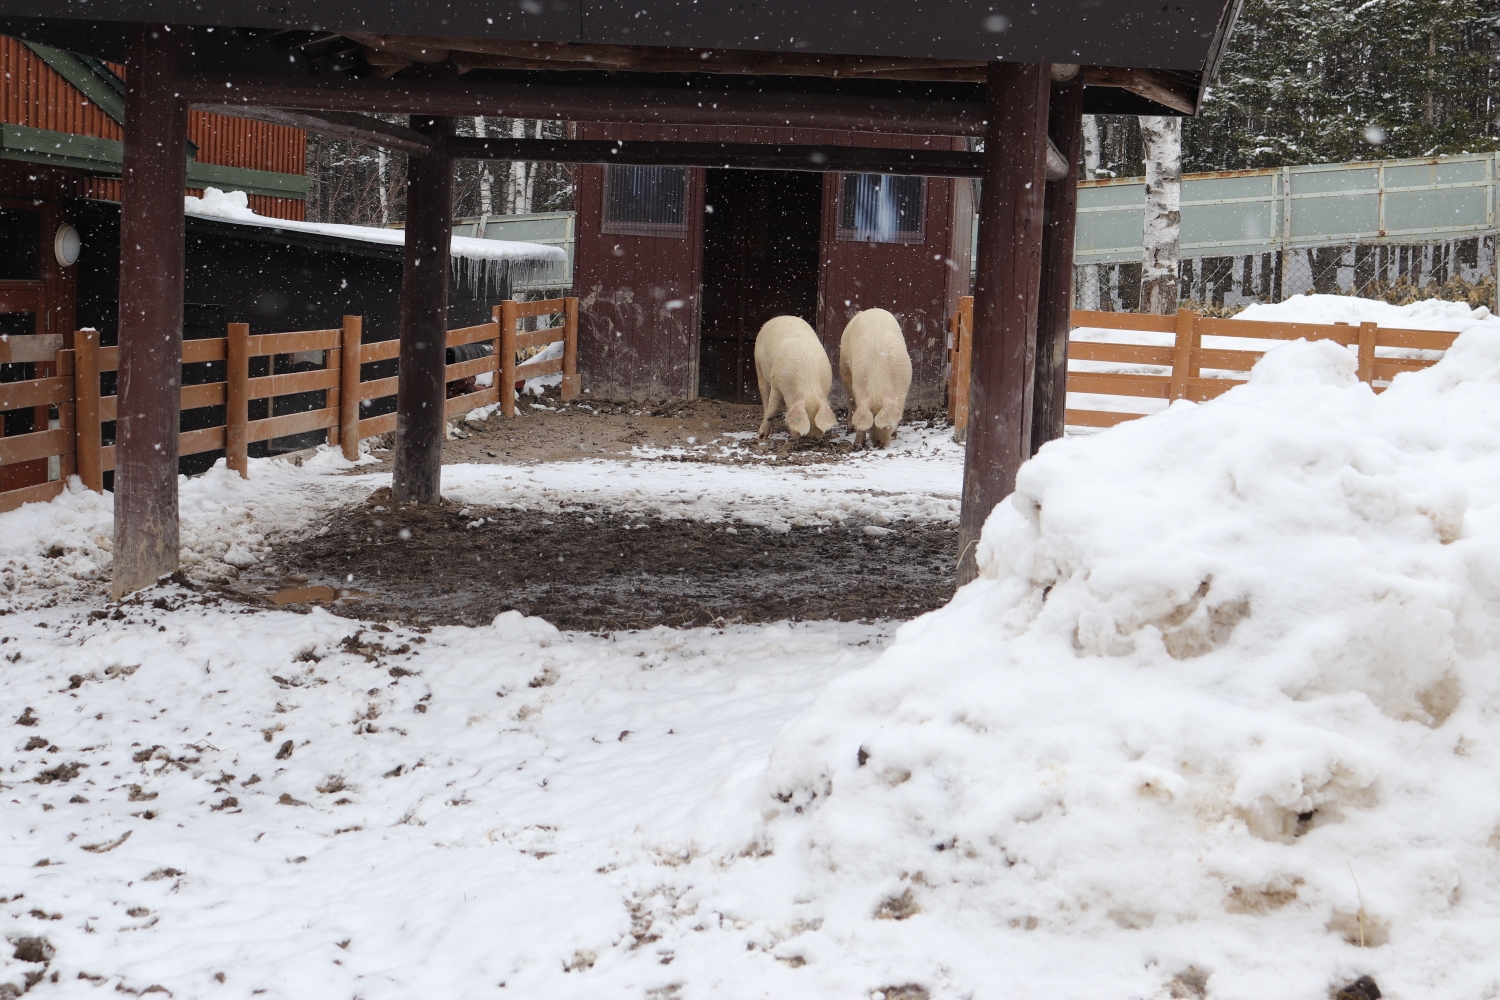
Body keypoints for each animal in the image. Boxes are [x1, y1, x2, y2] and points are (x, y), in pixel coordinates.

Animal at [840, 308, 906, 449]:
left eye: (887, 425)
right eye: (871, 426)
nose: (879, 444)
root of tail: (869, 310)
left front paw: (894, 435)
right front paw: (857, 444)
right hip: (844, 365)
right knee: (851, 401)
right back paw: (850, 429)